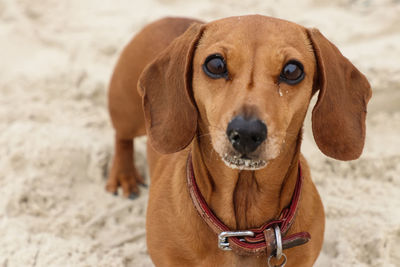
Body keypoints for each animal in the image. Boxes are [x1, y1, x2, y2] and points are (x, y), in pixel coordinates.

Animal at [106, 15, 372, 267]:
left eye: (292, 70)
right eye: (215, 64)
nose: (245, 133)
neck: (243, 233)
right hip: (126, 111)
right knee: (121, 137)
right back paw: (123, 175)